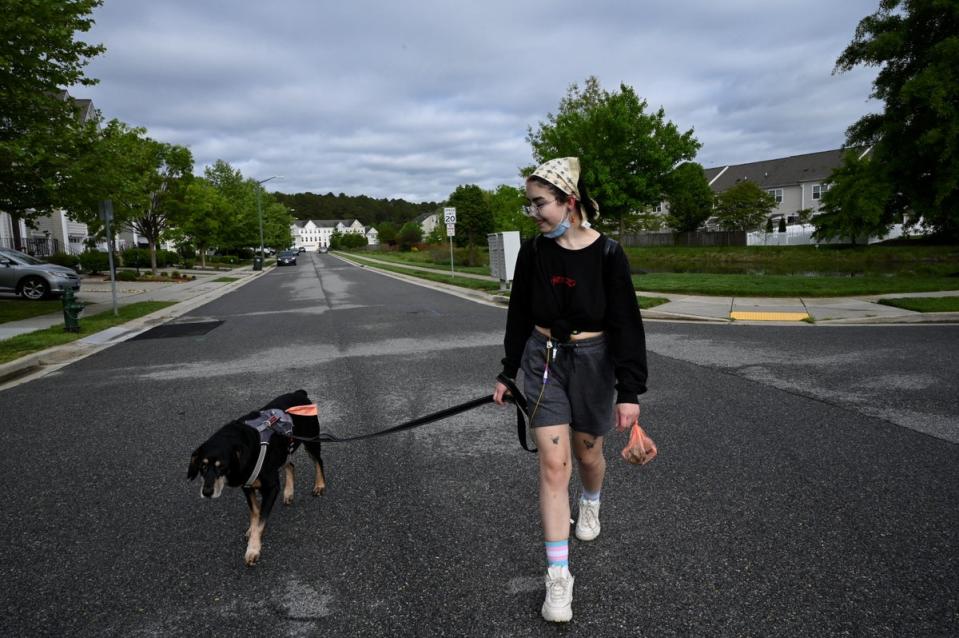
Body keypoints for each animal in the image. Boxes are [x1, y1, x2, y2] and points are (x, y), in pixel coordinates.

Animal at [188, 390, 330, 564]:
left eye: (222, 466)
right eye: (202, 466)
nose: (207, 492)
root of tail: (299, 393)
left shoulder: (271, 487)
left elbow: (262, 518)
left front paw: (253, 549)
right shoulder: (247, 486)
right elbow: (255, 512)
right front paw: (252, 530)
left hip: (311, 440)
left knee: (318, 461)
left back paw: (319, 485)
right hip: (283, 453)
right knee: (290, 465)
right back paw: (289, 493)